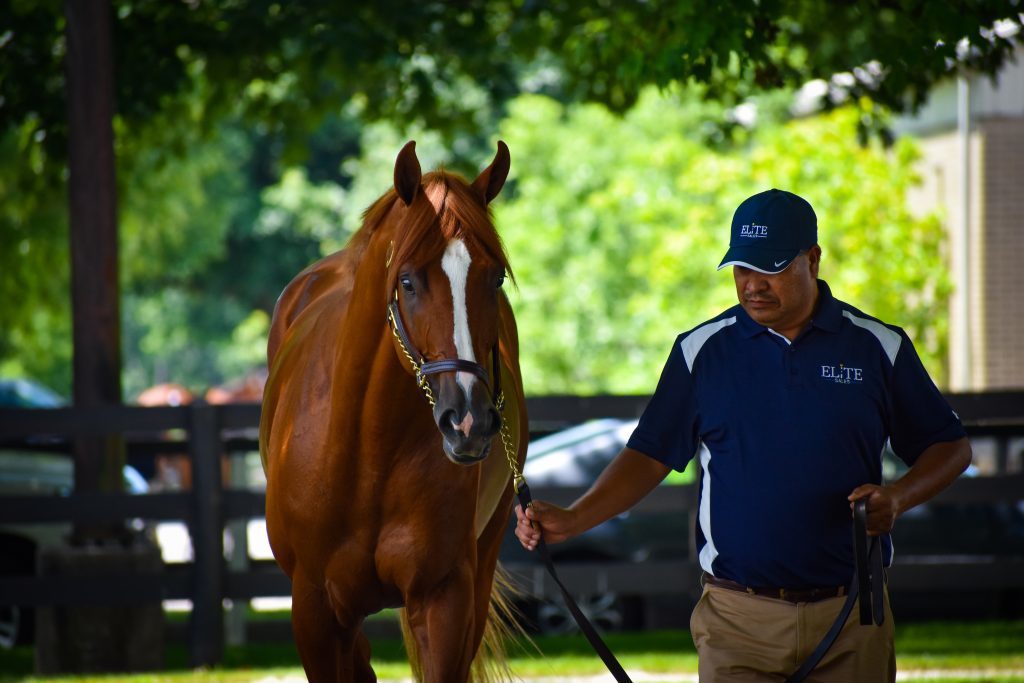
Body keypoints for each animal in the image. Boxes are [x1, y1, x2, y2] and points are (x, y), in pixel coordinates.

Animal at [258, 141, 528, 679]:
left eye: (495, 280)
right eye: (407, 281)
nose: (469, 422)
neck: (368, 451)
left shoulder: (444, 599)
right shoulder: (314, 610)